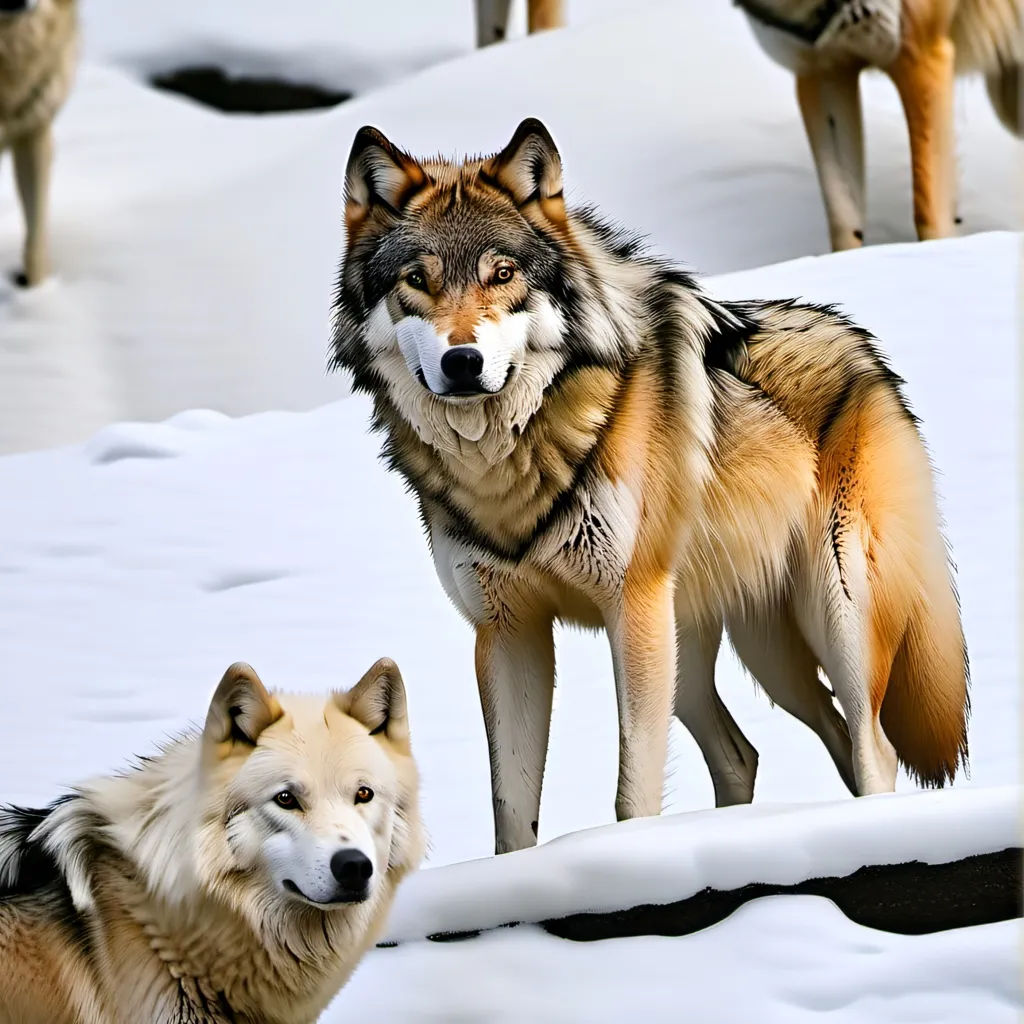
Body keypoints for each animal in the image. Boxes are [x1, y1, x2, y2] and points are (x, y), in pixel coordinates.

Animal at [330, 118, 969, 856]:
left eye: (504, 274)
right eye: (417, 280)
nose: (463, 363)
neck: (512, 459)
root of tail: (863, 347)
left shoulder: (629, 608)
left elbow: (631, 794)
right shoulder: (507, 634)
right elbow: (511, 813)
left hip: (825, 618)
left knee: (873, 750)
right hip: (731, 655)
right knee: (753, 752)